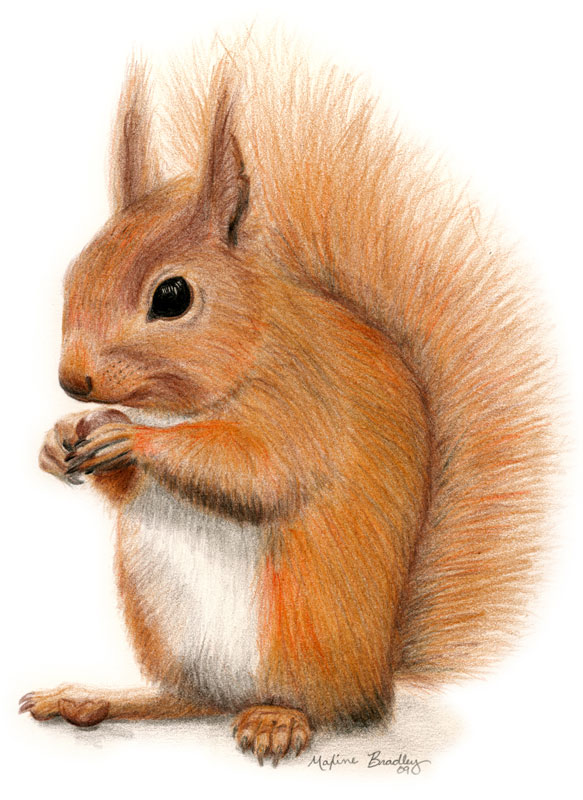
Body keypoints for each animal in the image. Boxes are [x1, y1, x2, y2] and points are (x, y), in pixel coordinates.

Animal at [20, 37, 554, 765]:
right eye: (73, 271)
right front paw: (60, 439)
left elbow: (264, 471)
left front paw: (130, 438)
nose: (74, 382)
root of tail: (378, 676)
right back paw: (91, 699)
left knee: (314, 707)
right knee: (192, 700)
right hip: (165, 622)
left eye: (172, 297)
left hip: (300, 626)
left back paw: (277, 720)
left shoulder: (303, 403)